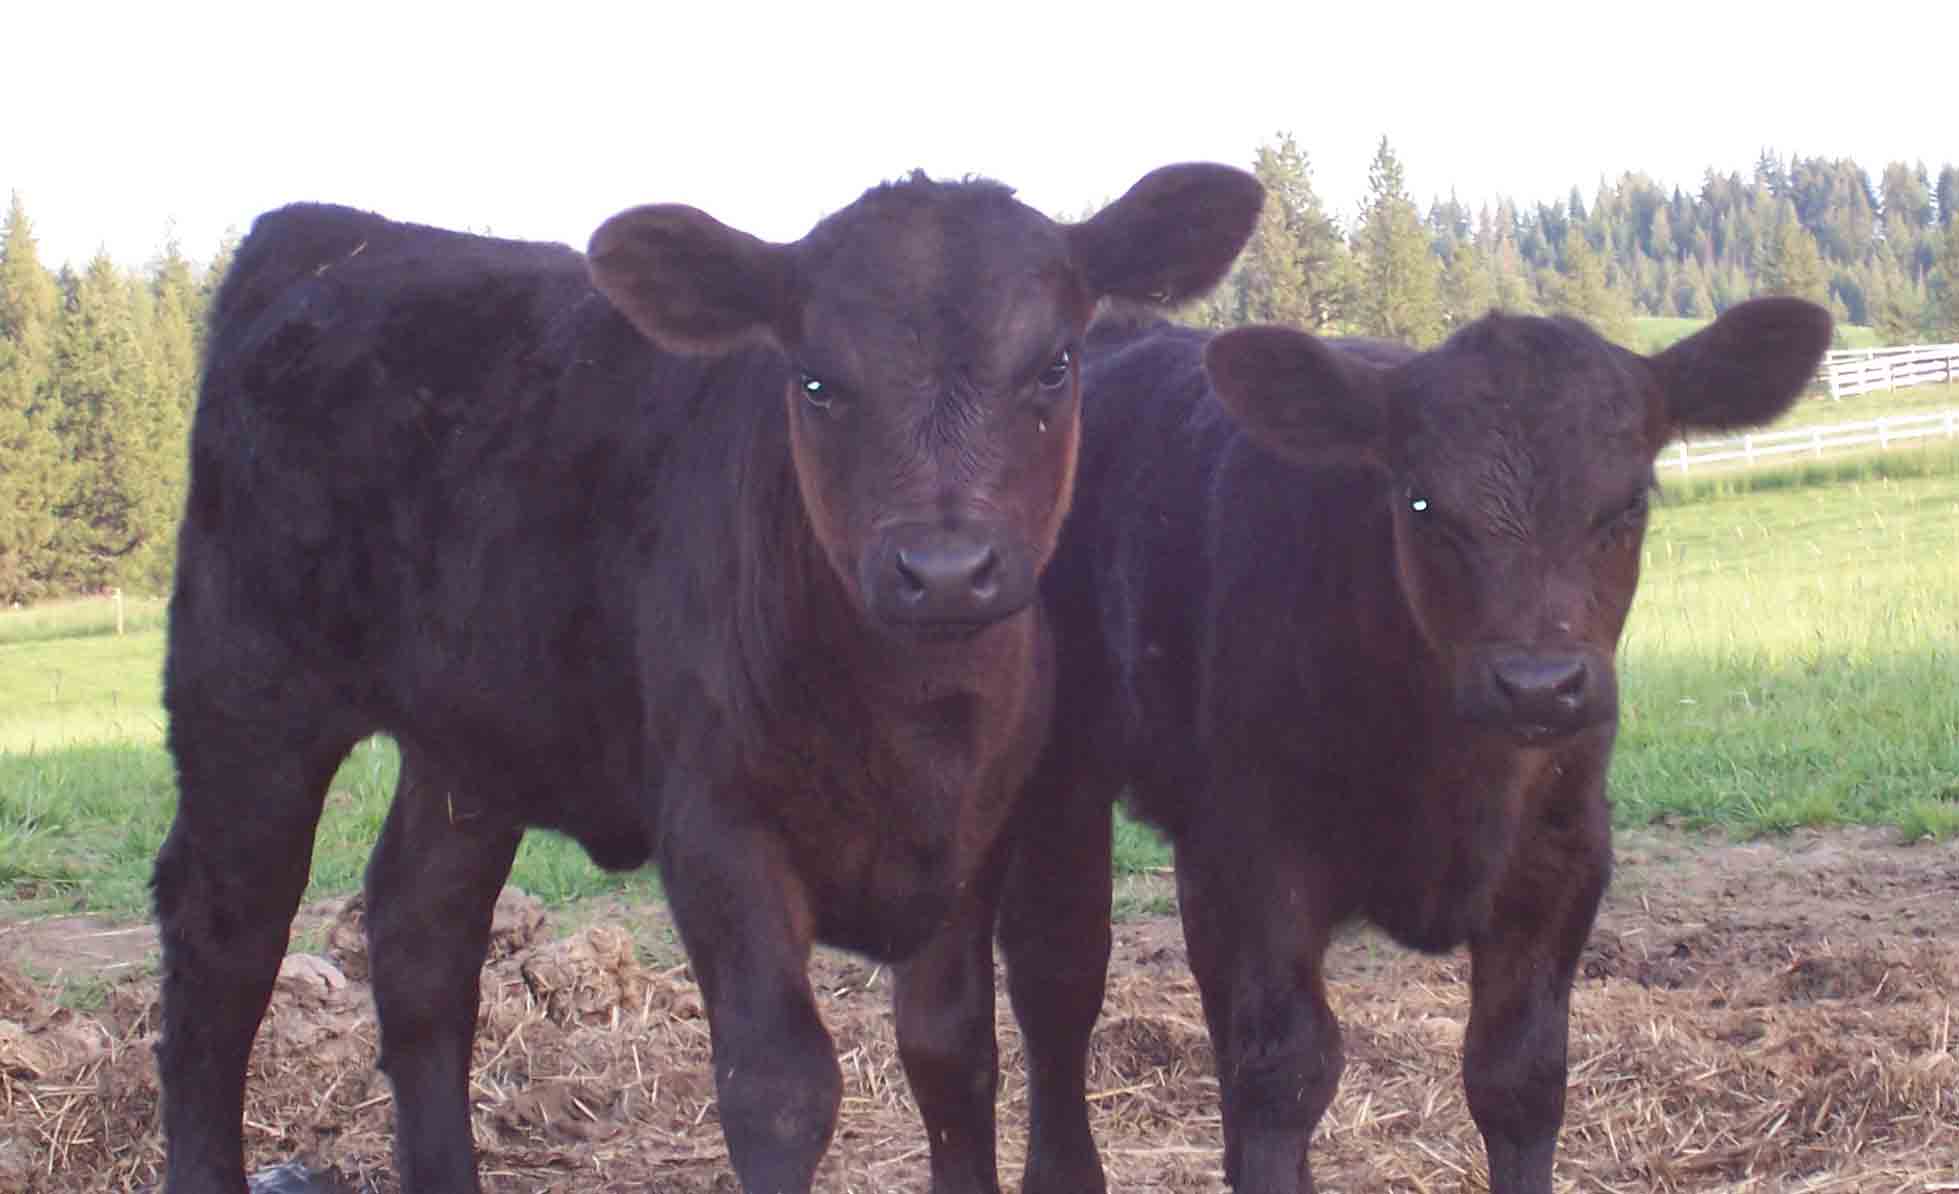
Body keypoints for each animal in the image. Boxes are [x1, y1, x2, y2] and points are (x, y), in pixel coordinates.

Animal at [151, 163, 1263, 1194]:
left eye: (1055, 366)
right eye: (814, 380)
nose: (944, 567)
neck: (915, 728)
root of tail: (330, 233)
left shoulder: (982, 834)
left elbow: (952, 1054)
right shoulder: (716, 828)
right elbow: (779, 1088)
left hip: (472, 736)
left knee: (421, 933)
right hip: (245, 689)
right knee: (223, 940)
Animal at [983, 298, 1833, 1193]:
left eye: (1630, 501)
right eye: (1421, 502)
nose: (1537, 684)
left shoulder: (1562, 857)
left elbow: (1518, 1075)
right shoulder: (1262, 853)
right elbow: (1285, 1068)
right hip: (1059, 774)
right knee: (1058, 972)